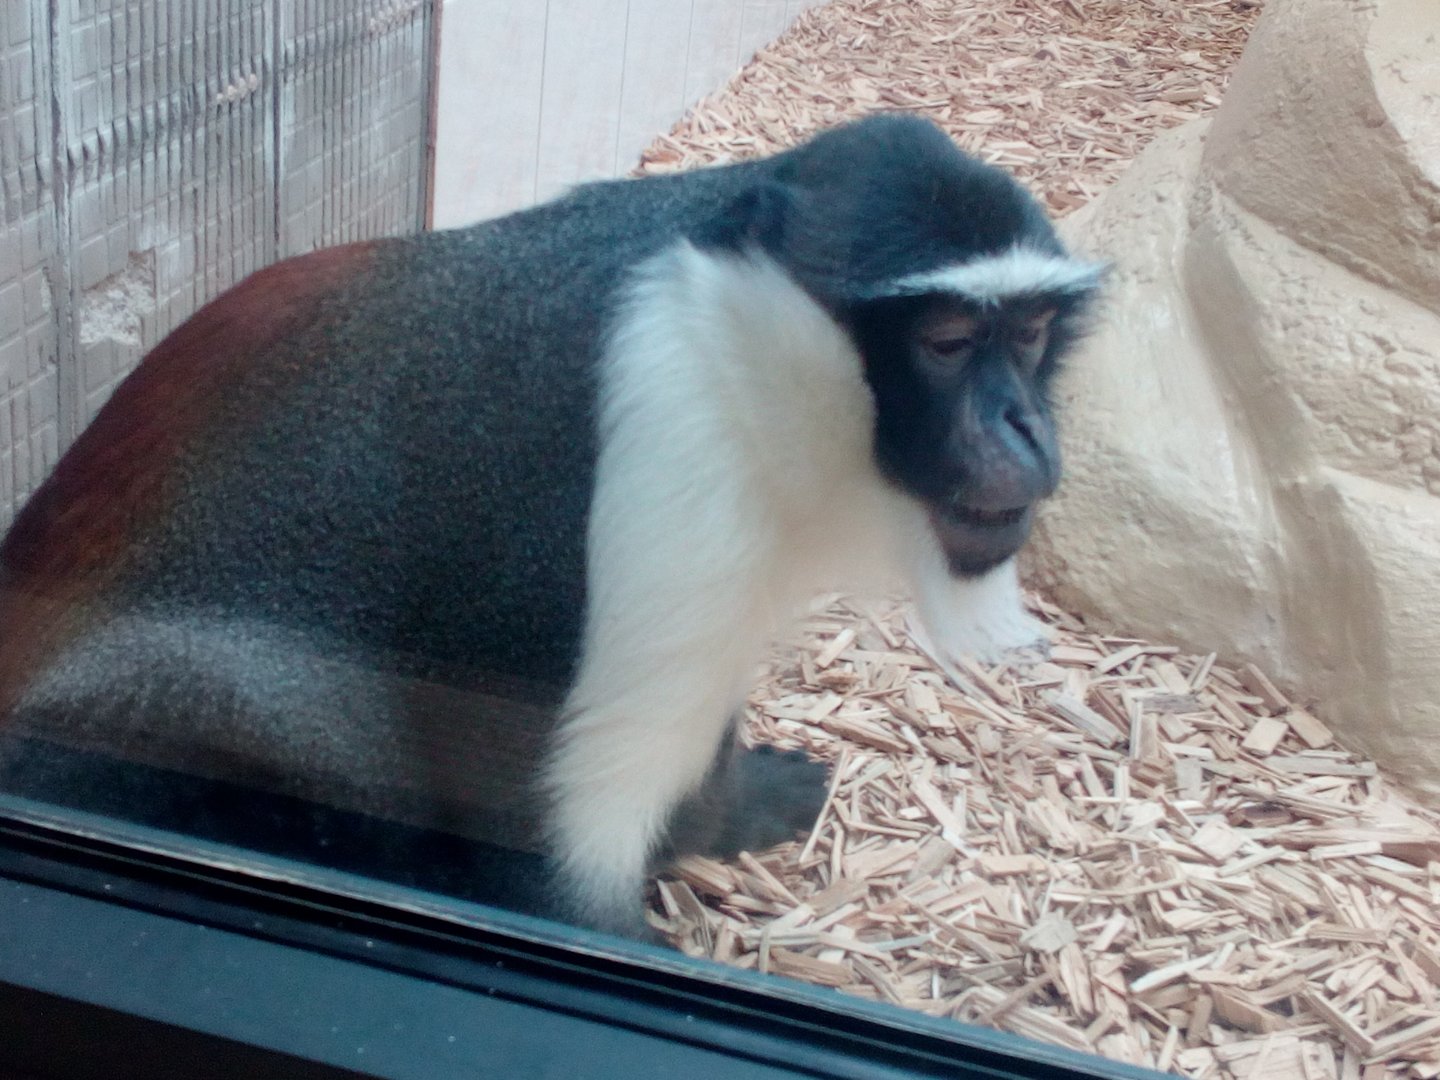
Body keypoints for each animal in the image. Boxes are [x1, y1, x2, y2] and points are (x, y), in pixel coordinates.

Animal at [0, 115, 1100, 940]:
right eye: (947, 343)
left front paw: (729, 806)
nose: (1025, 425)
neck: (728, 344)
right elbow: (541, 857)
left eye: (1032, 333)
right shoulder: (656, 474)